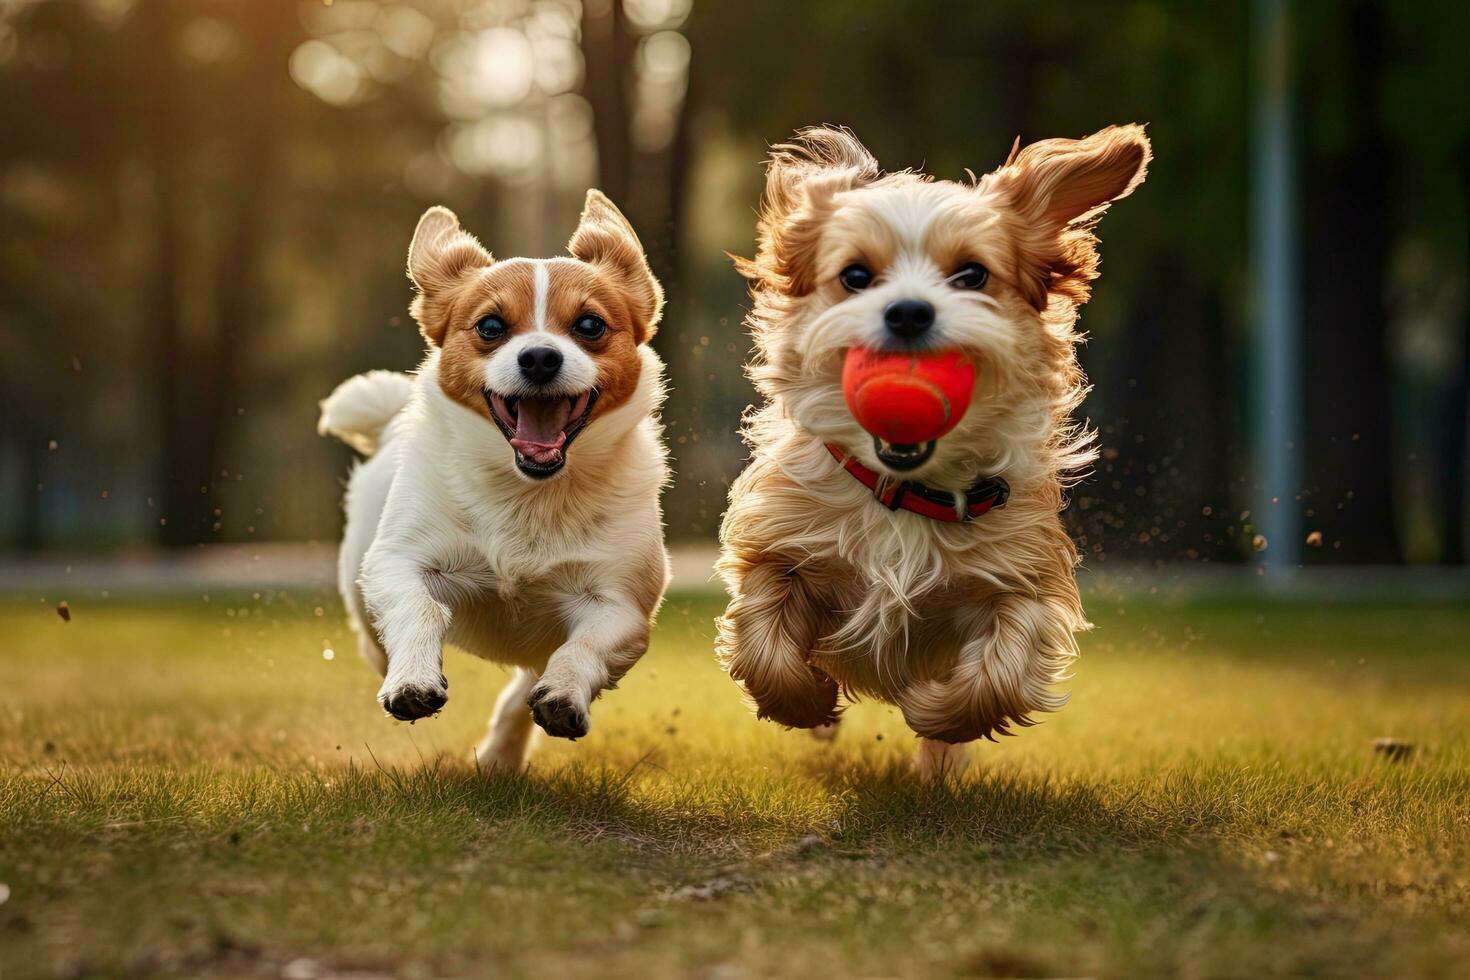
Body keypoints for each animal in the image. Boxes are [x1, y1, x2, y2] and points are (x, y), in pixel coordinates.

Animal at [321, 191, 673, 769]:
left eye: (590, 326)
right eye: (490, 327)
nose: (540, 356)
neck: (528, 491)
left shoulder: (620, 608)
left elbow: (581, 649)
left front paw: (563, 697)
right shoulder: (399, 563)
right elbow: (419, 607)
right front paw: (413, 680)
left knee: (525, 684)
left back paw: (503, 751)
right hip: (361, 585)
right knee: (377, 638)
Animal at [711, 124, 1146, 781]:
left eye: (972, 274)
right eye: (856, 275)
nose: (909, 311)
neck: (906, 498)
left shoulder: (1020, 578)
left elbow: (998, 674)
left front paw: (931, 712)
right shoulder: (780, 546)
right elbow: (767, 646)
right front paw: (809, 703)